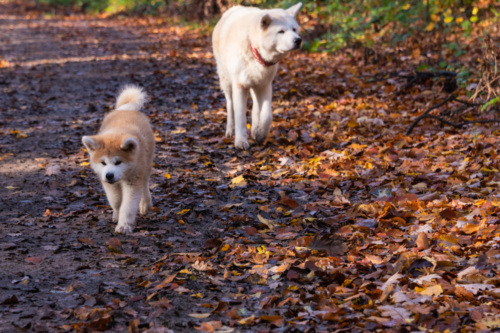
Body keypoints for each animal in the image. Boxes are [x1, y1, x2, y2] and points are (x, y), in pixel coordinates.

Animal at [81, 84, 155, 232]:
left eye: (118, 162)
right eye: (103, 163)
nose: (109, 175)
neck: (118, 131)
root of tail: (126, 110)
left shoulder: (133, 180)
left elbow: (128, 206)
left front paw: (124, 225)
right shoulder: (108, 184)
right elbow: (116, 201)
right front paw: (117, 215)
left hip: (146, 164)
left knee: (144, 183)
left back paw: (145, 204)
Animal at [213, 2, 302, 149]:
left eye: (294, 29)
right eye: (281, 31)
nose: (298, 40)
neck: (254, 49)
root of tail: (233, 8)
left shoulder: (266, 85)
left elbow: (267, 116)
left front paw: (261, 134)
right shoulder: (239, 86)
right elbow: (240, 116)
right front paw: (241, 142)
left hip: (256, 85)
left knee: (255, 106)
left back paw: (255, 129)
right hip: (227, 82)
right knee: (230, 106)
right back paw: (230, 131)